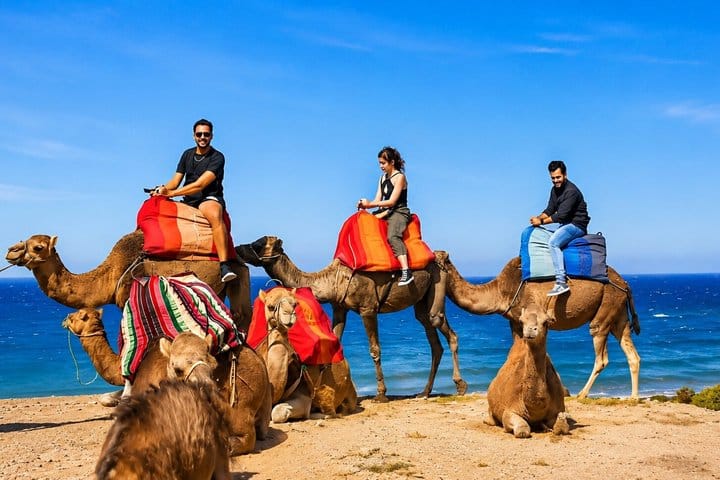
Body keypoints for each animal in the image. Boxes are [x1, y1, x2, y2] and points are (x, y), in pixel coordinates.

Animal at [236, 236, 467, 402]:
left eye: (258, 244)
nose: (237, 248)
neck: (332, 279)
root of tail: (442, 255)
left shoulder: (367, 308)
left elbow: (375, 349)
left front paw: (381, 394)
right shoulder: (339, 308)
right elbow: (332, 342)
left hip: (438, 279)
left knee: (444, 327)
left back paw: (460, 385)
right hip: (421, 297)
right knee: (433, 338)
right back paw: (424, 392)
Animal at [435, 251, 642, 399]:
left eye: (435, 258)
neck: (500, 291)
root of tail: (625, 284)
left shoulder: (533, 317)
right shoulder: (515, 321)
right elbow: (516, 351)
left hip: (606, 306)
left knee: (601, 353)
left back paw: (582, 394)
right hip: (618, 312)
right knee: (632, 353)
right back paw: (633, 397)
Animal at [485, 304, 570, 438]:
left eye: (546, 322)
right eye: (521, 321)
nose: (530, 330)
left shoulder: (557, 408)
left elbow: (563, 427)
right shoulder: (510, 410)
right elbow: (522, 429)